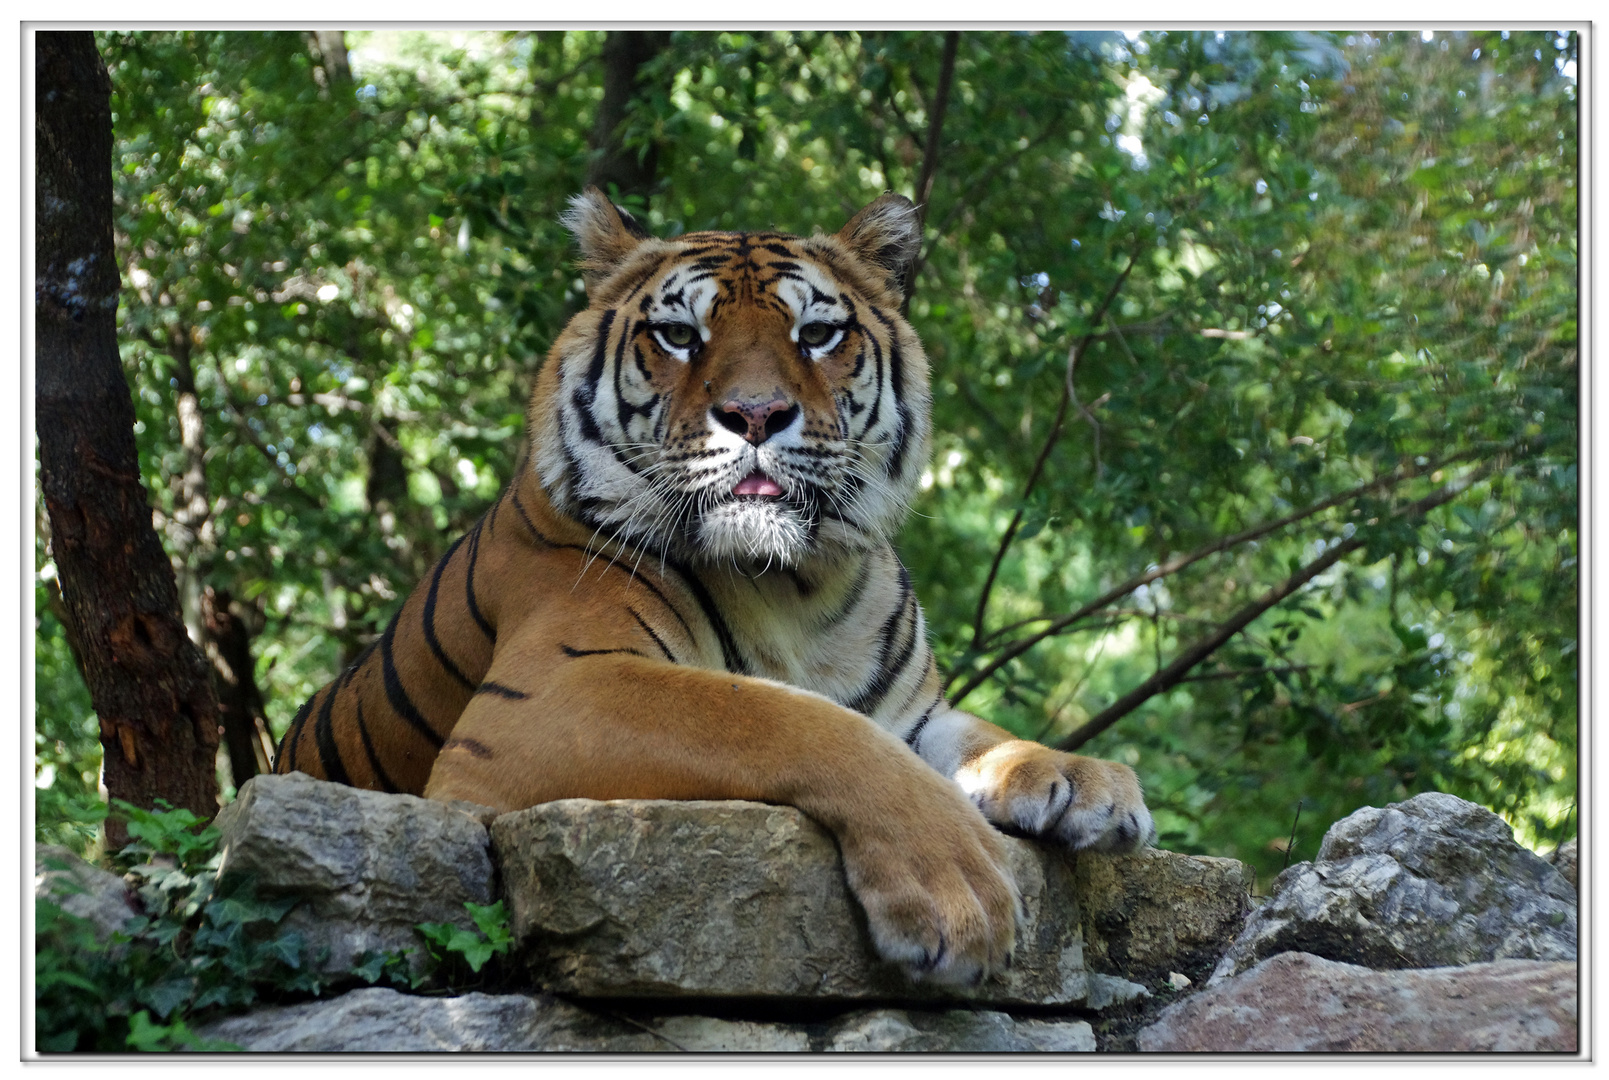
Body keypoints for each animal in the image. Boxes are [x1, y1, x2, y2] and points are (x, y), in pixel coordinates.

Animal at [276, 188, 1158, 991]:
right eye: (678, 335)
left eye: (816, 334)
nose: (756, 413)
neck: (800, 588)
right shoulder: (547, 694)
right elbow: (780, 717)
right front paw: (958, 891)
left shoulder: (910, 712)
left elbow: (975, 734)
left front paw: (1084, 779)